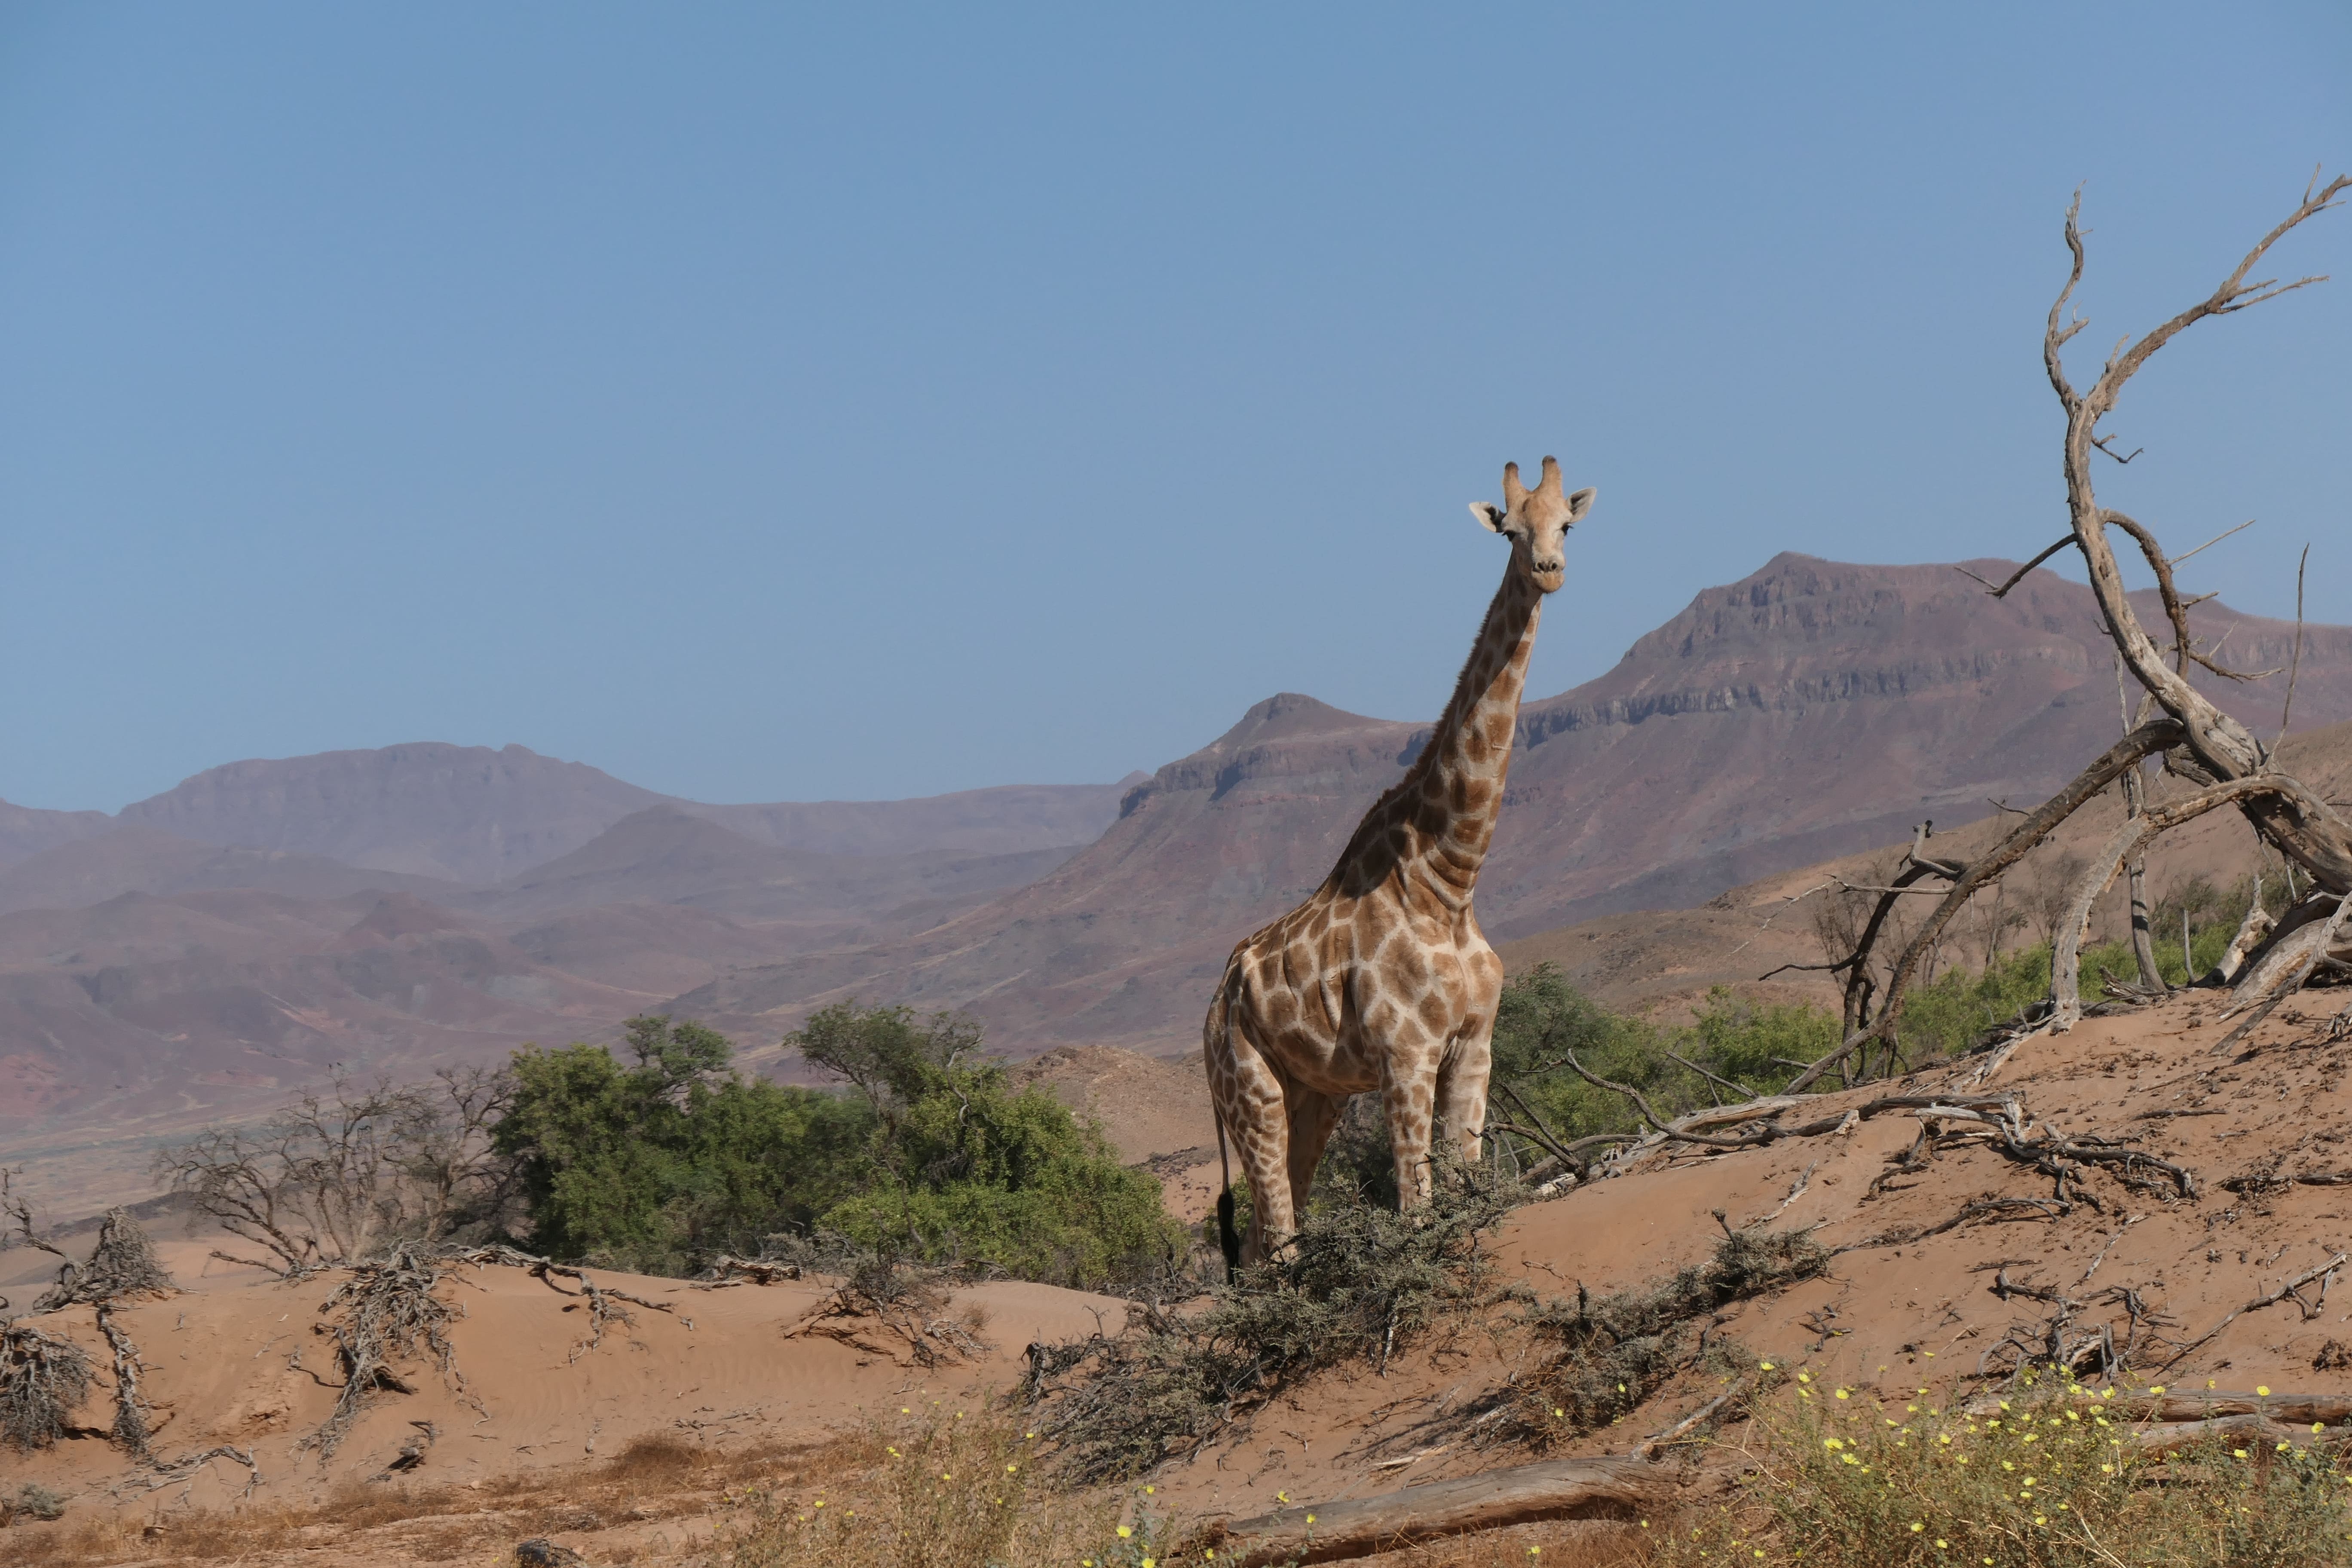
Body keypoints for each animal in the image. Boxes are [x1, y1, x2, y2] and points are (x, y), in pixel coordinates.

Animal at [1204, 455, 1594, 1269]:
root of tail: (1210, 1009)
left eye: (1566, 525)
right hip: (1248, 1088)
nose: (1548, 570)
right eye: (1509, 531)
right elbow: (1418, 1211)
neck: (1451, 880)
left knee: (1259, 1242)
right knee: (1276, 1242)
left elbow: (1467, 1186)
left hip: (1314, 1095)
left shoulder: (1474, 1045)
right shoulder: (1406, 1053)